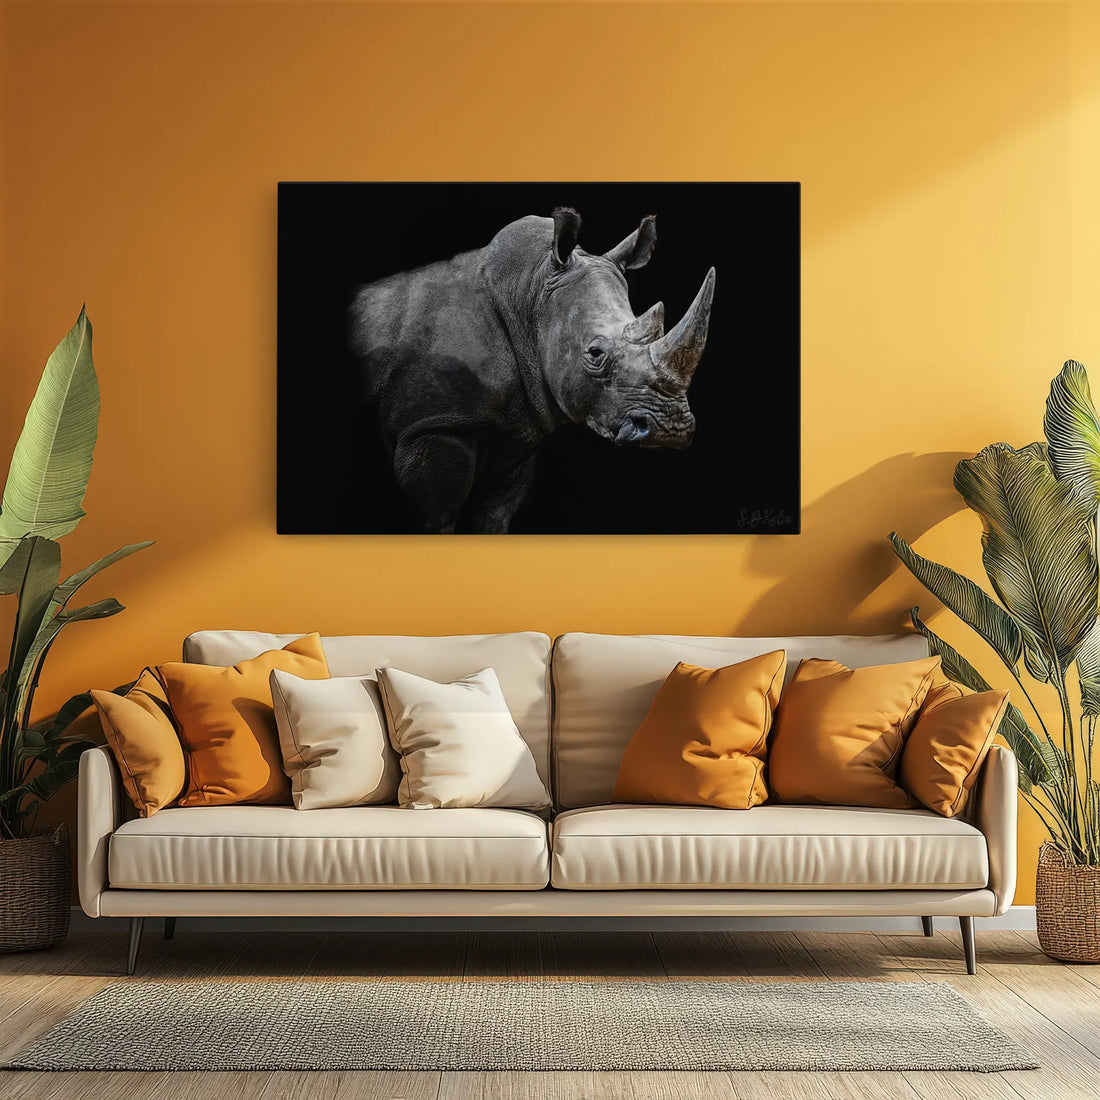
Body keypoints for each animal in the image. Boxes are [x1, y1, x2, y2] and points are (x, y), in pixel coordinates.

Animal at [349, 207, 716, 533]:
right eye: (595, 353)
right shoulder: (434, 426)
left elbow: (494, 516)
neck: (530, 295)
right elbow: (436, 518)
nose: (670, 429)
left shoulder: (517, 433)